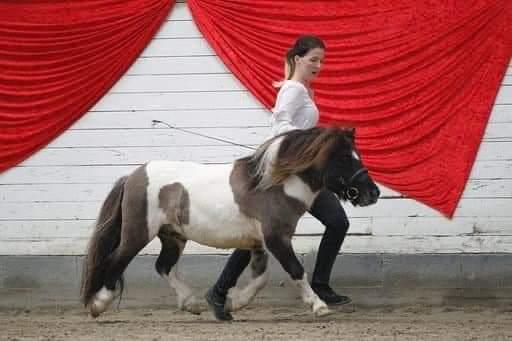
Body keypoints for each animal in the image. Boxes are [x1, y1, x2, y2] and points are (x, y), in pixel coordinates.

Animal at [81, 125, 380, 318]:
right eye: (344, 158)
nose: (373, 193)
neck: (273, 186)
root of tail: (133, 176)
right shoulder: (276, 238)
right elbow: (295, 270)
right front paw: (319, 306)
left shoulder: (259, 243)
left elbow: (260, 278)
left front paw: (232, 304)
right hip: (138, 232)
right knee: (116, 260)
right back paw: (98, 305)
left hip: (173, 236)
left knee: (163, 266)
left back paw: (191, 303)